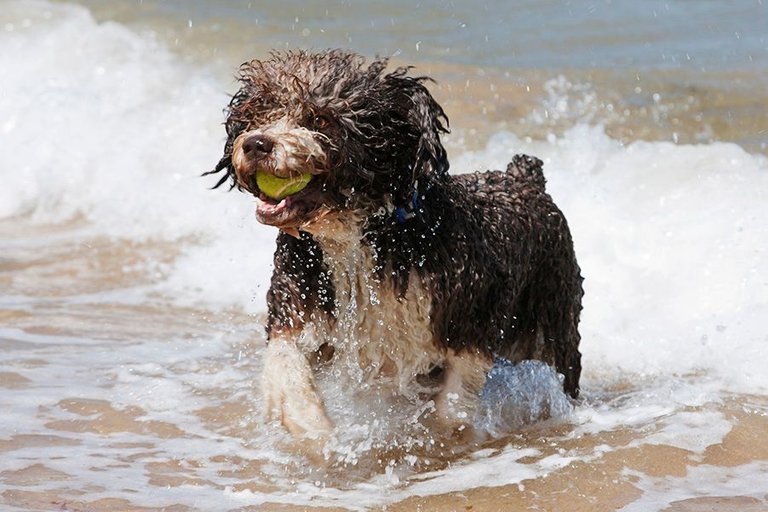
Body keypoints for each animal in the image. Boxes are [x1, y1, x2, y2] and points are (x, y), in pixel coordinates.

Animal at [207, 49, 584, 448]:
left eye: (320, 118)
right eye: (259, 111)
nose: (256, 144)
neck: (361, 238)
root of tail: (524, 178)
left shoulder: (469, 321)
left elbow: (452, 407)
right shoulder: (298, 296)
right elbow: (286, 364)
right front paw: (316, 431)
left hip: (555, 322)